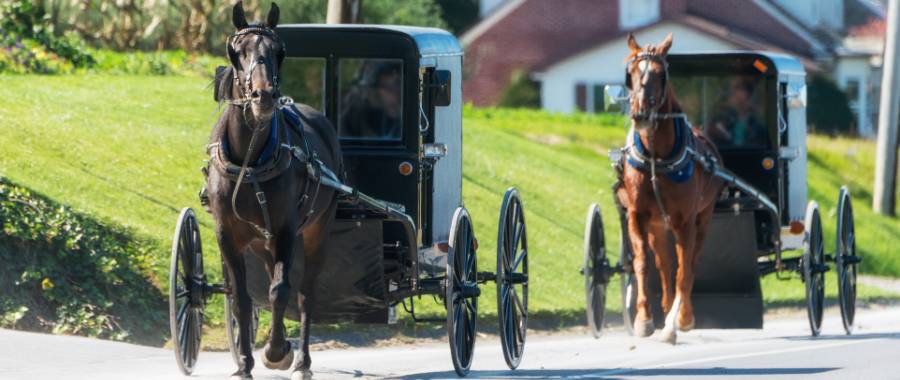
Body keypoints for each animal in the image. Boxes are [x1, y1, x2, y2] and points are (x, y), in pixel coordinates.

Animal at [206, 2, 342, 378]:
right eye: (237, 51)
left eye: (279, 51)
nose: (264, 96)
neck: (250, 161)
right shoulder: (227, 234)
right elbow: (242, 297)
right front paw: (243, 362)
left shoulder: (285, 230)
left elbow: (281, 291)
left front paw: (276, 351)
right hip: (262, 242)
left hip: (316, 231)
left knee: (305, 293)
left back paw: (303, 361)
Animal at [616, 33, 728, 344]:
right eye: (631, 73)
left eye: (659, 74)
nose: (641, 115)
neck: (657, 159)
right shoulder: (638, 216)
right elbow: (643, 263)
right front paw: (644, 319)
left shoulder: (685, 221)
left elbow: (683, 270)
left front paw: (677, 322)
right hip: (657, 225)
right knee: (664, 264)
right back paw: (666, 306)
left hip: (703, 218)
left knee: (689, 264)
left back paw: (681, 314)